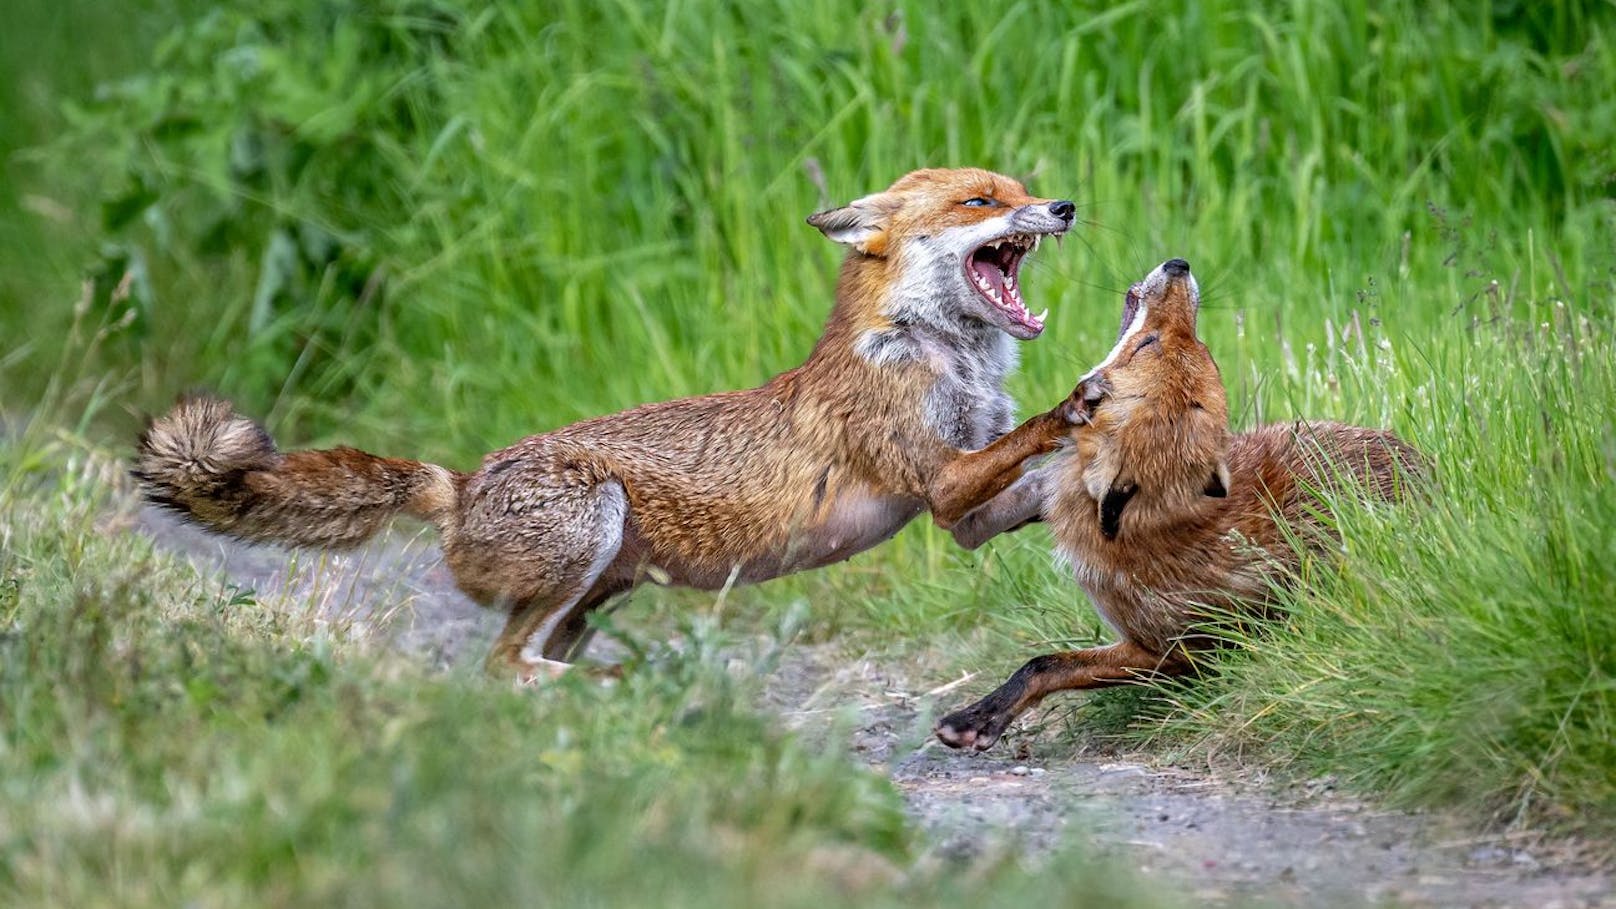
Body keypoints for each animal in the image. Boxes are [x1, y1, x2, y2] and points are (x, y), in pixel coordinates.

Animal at [132, 168, 1079, 679]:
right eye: (979, 201)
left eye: (1023, 190)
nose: (1066, 205)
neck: (943, 358)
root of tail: (460, 484)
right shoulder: (938, 477)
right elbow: (1032, 429)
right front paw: (1081, 402)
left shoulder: (958, 516)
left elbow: (1032, 486)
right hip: (588, 534)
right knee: (504, 664)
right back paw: (613, 687)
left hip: (594, 592)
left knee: (523, 660)